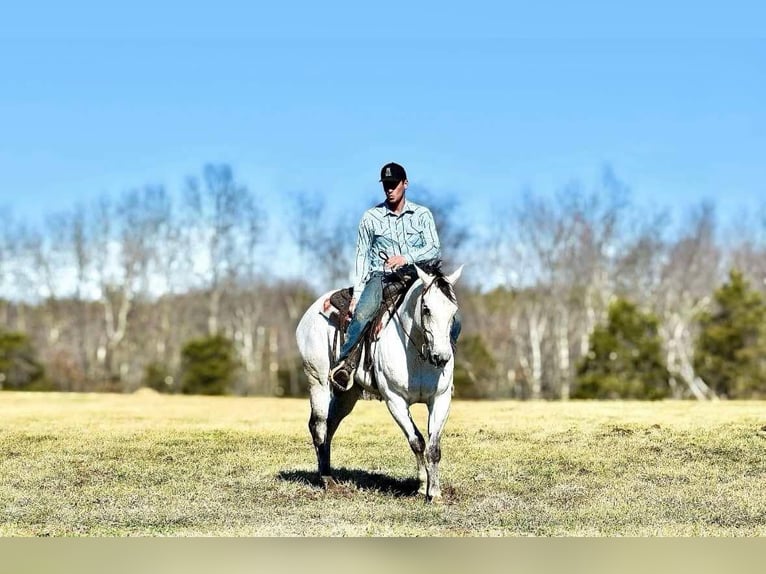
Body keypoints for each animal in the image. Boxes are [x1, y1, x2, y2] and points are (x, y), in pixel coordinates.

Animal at [296, 266, 464, 504]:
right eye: (426, 309)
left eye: (453, 310)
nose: (441, 357)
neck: (415, 355)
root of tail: (311, 312)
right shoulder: (394, 400)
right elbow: (417, 441)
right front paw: (423, 485)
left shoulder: (441, 399)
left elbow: (433, 448)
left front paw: (434, 492)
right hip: (317, 380)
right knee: (318, 425)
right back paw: (328, 481)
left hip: (347, 395)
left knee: (330, 425)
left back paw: (328, 474)